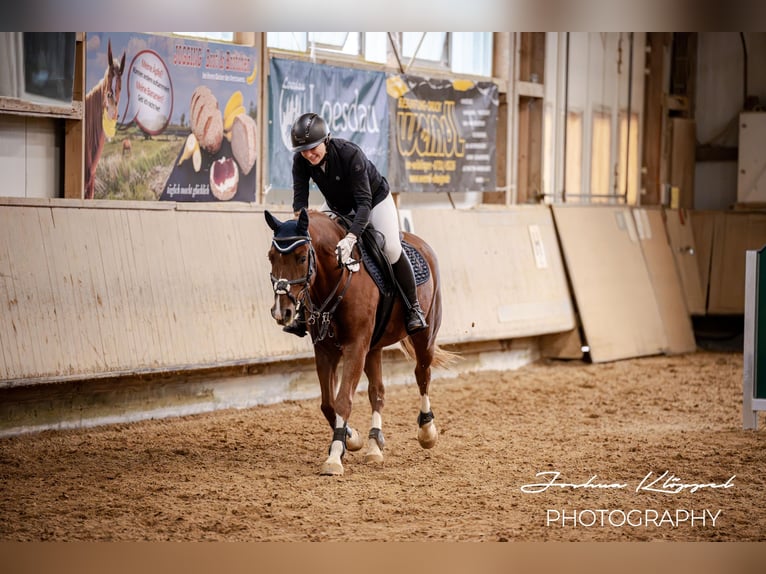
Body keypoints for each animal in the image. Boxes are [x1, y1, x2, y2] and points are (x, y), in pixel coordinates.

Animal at [265, 208, 456, 476]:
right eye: (271, 257)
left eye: (302, 258)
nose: (281, 312)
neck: (334, 279)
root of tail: (421, 244)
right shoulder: (325, 350)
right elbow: (328, 403)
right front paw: (351, 438)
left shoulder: (355, 346)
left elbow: (343, 400)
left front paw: (335, 457)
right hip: (373, 348)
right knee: (378, 392)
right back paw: (374, 446)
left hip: (424, 336)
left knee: (422, 374)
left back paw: (427, 432)